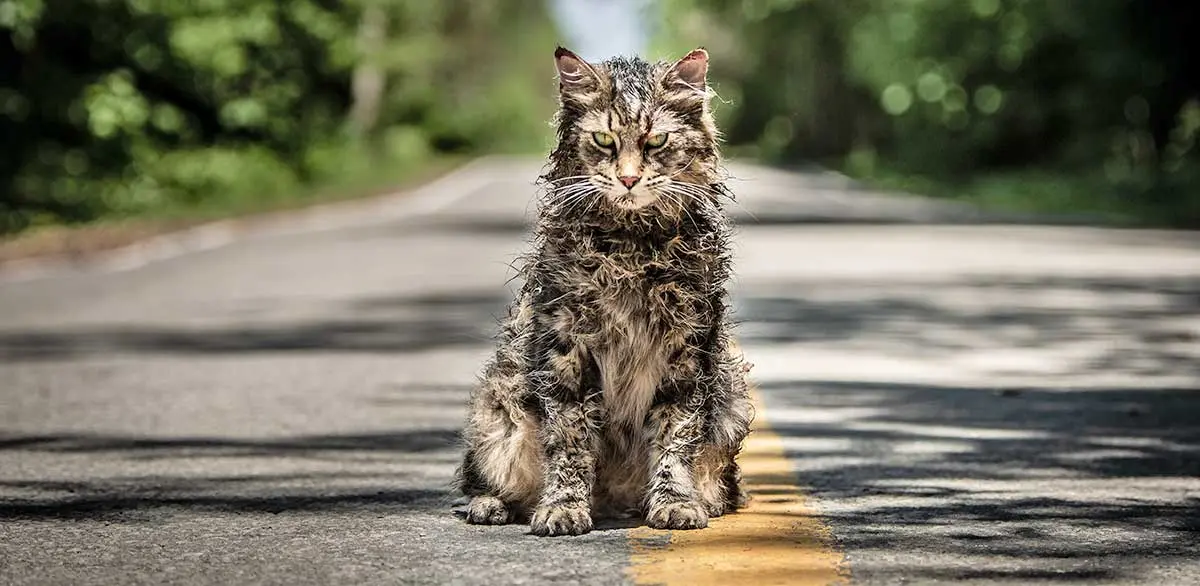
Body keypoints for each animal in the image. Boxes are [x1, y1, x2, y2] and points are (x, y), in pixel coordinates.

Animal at [453, 45, 753, 537]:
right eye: (604, 141)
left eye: (656, 142)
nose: (629, 179)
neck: (631, 248)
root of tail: (613, 500)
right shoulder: (565, 349)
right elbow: (571, 441)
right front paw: (563, 507)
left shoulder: (687, 351)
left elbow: (675, 437)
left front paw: (675, 502)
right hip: (498, 409)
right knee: (482, 480)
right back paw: (491, 505)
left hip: (732, 403)